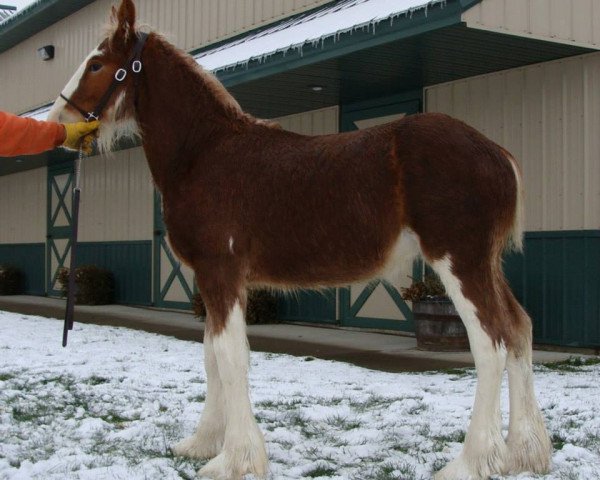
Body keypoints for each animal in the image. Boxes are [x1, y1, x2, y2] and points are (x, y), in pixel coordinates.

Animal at [48, 1, 552, 478]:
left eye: (97, 64)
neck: (206, 154)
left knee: (490, 345)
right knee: (519, 330)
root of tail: (498, 154)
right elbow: (211, 355)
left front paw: (234, 460)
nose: (60, 123)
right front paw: (203, 443)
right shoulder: (214, 281)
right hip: (486, 264)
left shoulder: (220, 273)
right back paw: (524, 454)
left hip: (458, 261)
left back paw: (470, 462)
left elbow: (230, 356)